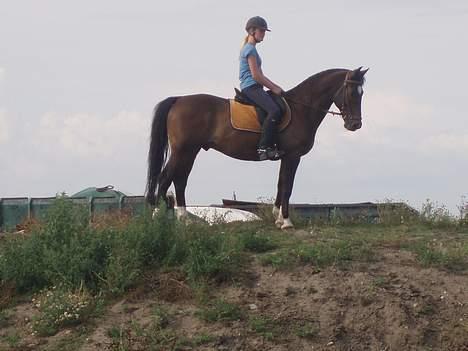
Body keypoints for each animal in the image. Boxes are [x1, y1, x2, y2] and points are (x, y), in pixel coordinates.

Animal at [146, 67, 370, 230]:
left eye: (362, 93)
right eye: (352, 92)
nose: (355, 125)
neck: (301, 108)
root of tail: (179, 99)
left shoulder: (285, 156)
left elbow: (281, 184)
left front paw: (277, 218)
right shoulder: (293, 156)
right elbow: (288, 186)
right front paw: (286, 221)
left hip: (190, 151)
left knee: (180, 179)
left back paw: (183, 219)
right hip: (183, 150)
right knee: (166, 178)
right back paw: (157, 217)